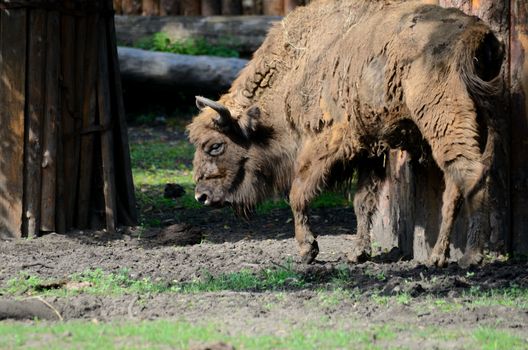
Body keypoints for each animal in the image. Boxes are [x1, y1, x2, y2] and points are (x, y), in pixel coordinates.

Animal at [187, 0, 504, 266]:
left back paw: (471, 257)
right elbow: (362, 201)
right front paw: (358, 254)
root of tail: (476, 33)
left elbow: (298, 192)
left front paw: (308, 250)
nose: (201, 196)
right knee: (457, 183)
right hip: (473, 124)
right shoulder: (369, 149)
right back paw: (438, 256)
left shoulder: (329, 141)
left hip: (444, 120)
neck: (296, 64)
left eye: (215, 146)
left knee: (470, 174)